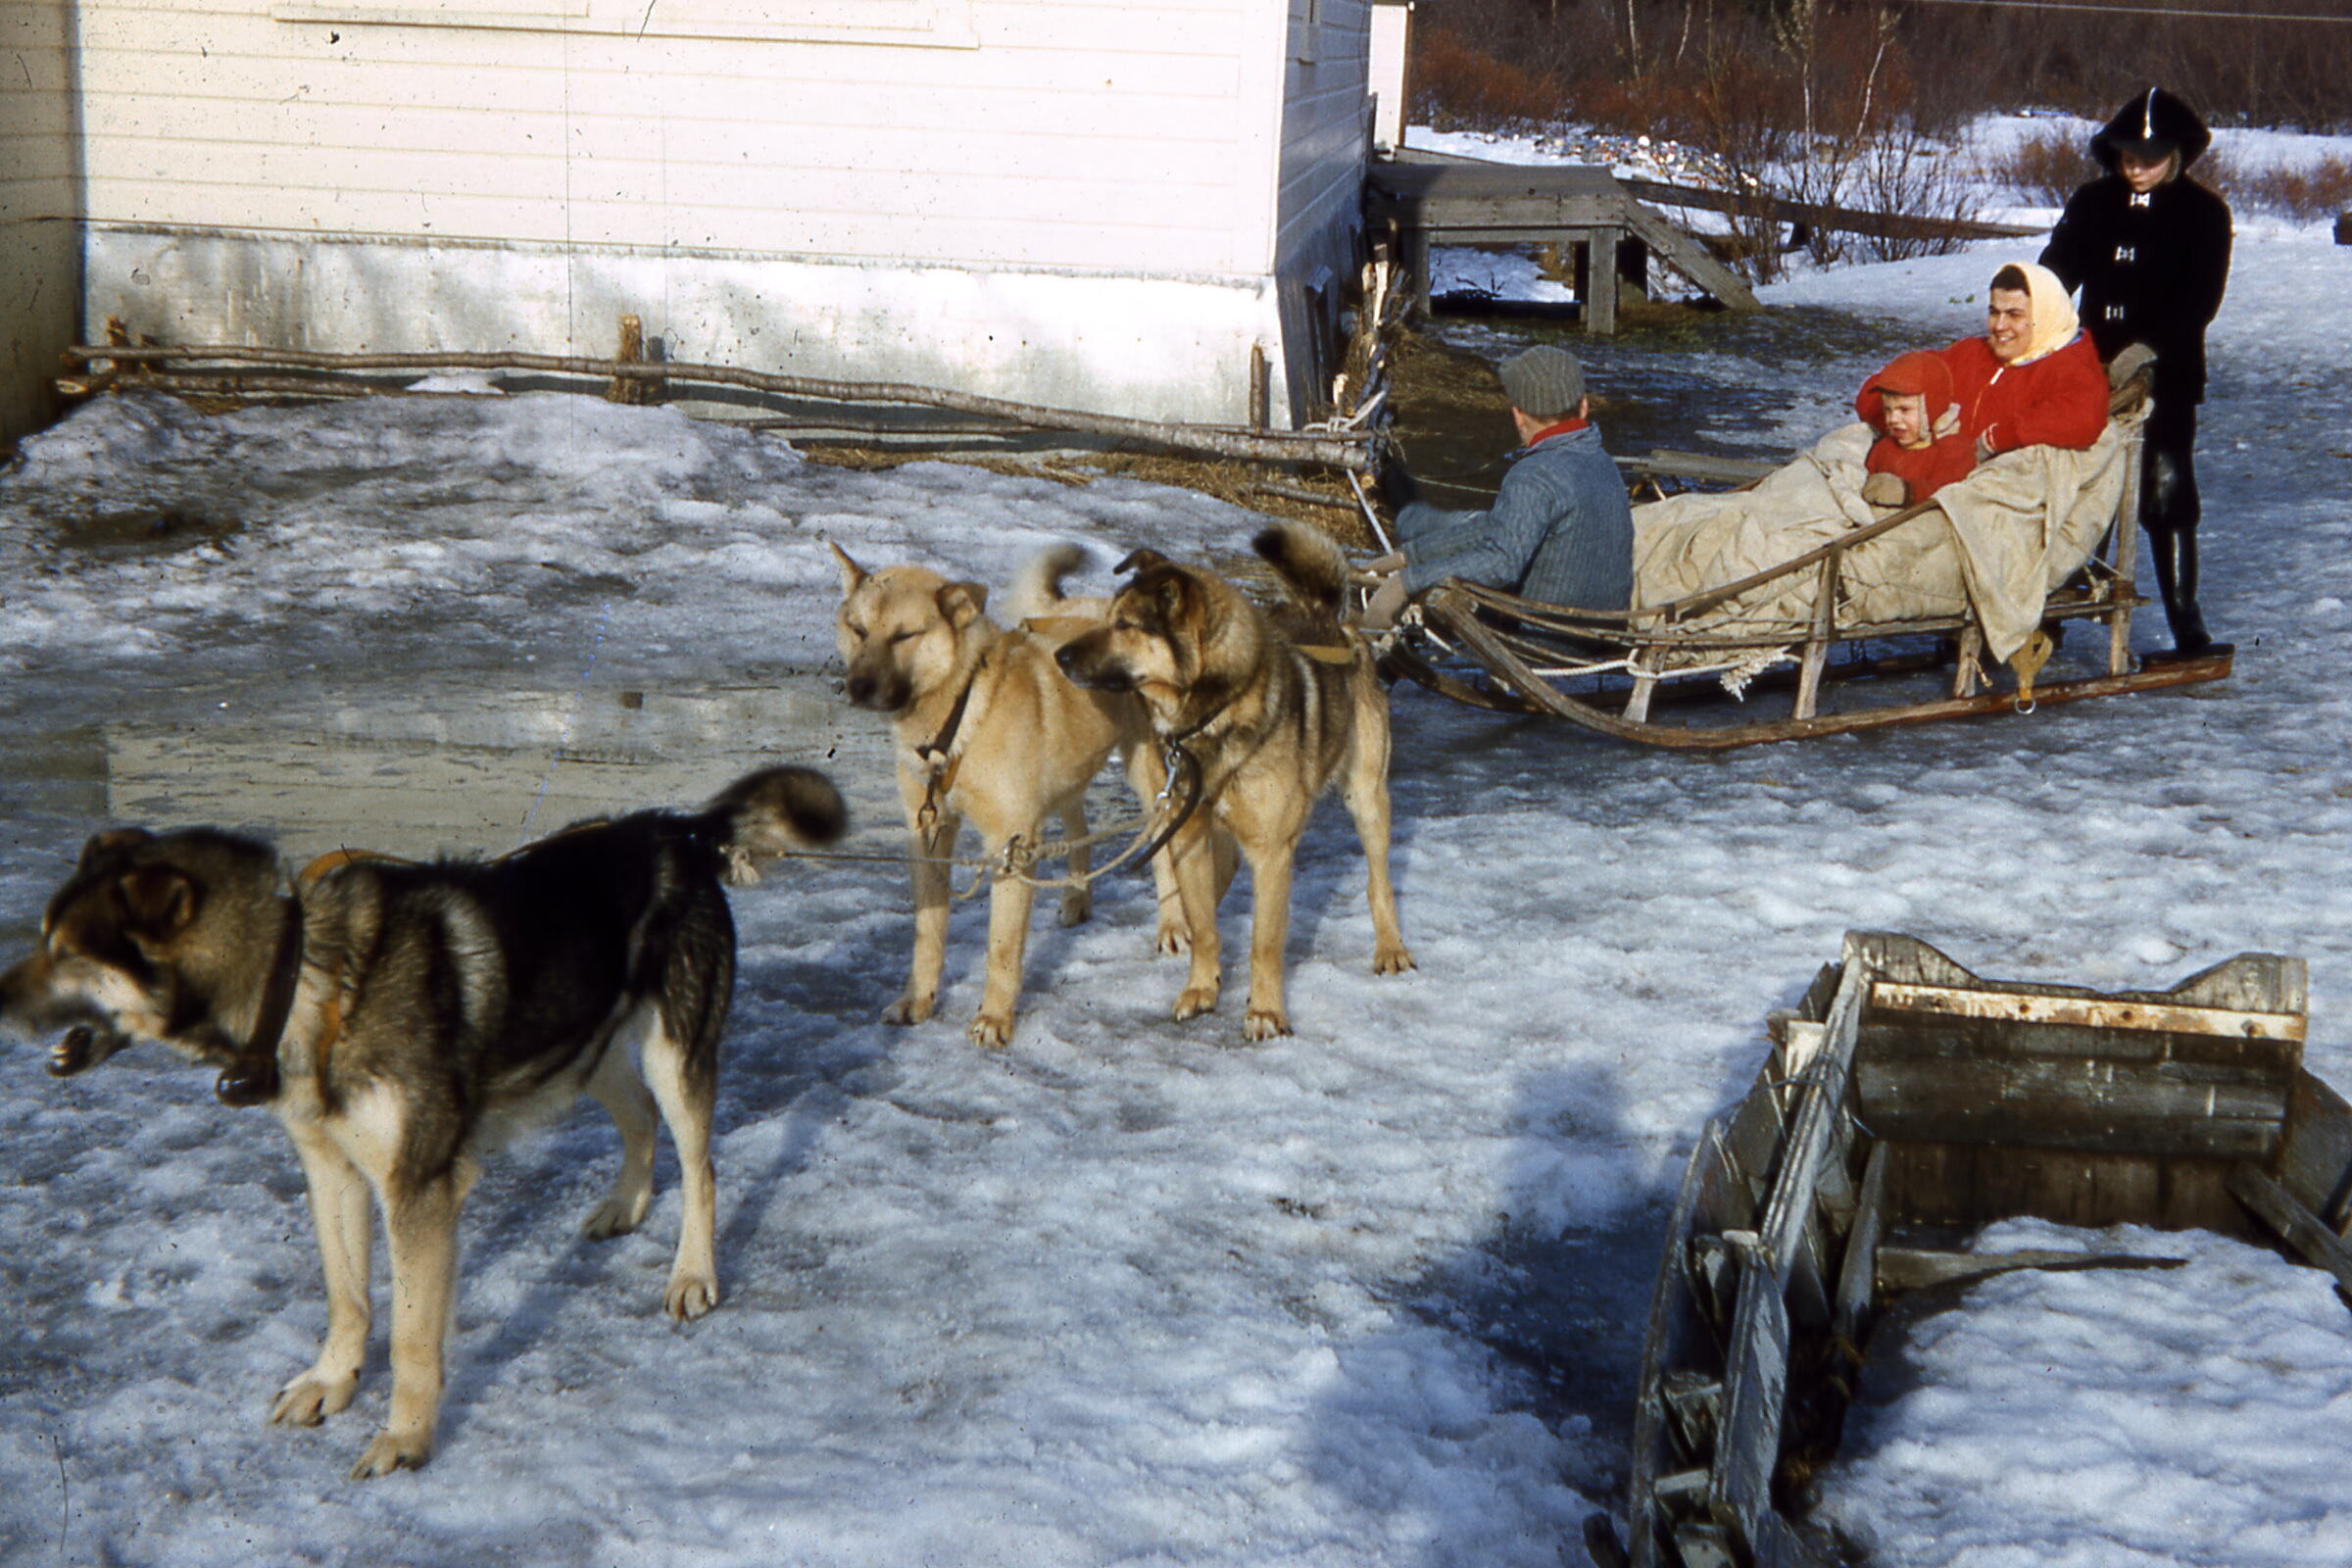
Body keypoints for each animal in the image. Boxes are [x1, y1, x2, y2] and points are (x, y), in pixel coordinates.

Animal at [0, 770, 847, 1486]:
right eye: (40, 936)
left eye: (65, 952)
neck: (306, 977)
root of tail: (674, 828)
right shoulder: (333, 1169)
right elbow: (348, 1298)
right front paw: (331, 1383)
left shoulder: (417, 1188)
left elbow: (410, 1337)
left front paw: (404, 1439)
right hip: (578, 1041)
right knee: (636, 1115)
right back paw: (623, 1206)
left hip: (674, 1053)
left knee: (699, 1166)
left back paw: (692, 1274)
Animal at [832, 545, 1185, 1048]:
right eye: (858, 629)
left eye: (905, 635)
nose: (857, 688)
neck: (961, 717)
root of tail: (1093, 605)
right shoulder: (928, 831)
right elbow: (928, 933)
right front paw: (917, 1000)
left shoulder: (1010, 843)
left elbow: (1001, 949)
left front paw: (995, 1018)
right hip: (1066, 771)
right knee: (1079, 824)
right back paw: (1077, 897)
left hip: (1147, 768)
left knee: (1162, 839)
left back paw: (1173, 924)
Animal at [1062, 523, 1411, 1044]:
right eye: (1107, 618)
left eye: (1125, 625)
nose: (1059, 655)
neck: (1212, 716)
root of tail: (1325, 616)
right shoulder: (1188, 835)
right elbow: (1207, 925)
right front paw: (1200, 988)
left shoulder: (1272, 853)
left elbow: (1264, 942)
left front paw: (1266, 1012)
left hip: (1366, 796)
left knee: (1379, 882)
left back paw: (1390, 948)